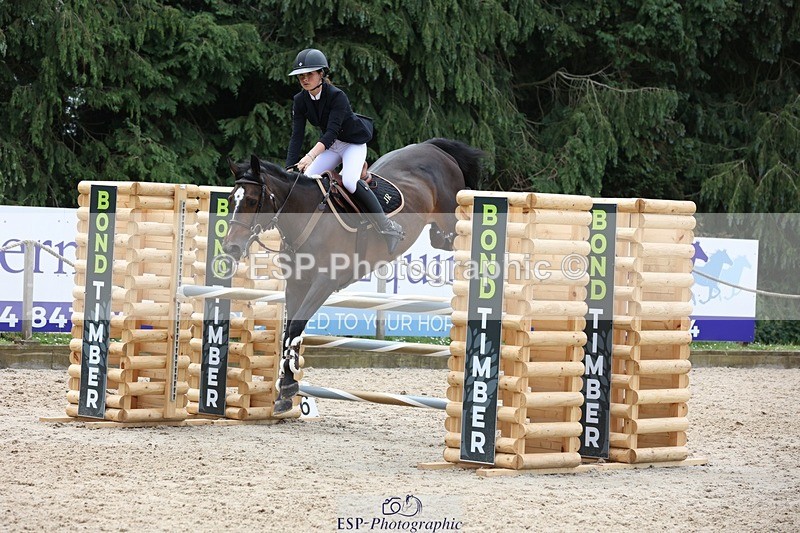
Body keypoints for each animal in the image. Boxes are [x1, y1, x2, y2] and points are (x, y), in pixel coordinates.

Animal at [222, 138, 484, 414]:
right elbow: (290, 334)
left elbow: (295, 328)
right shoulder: (295, 285)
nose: (231, 247)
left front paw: (288, 387)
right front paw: (285, 391)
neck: (304, 217)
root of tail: (433, 147)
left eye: (252, 200)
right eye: (230, 199)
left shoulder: (323, 284)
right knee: (440, 240)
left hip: (451, 215)